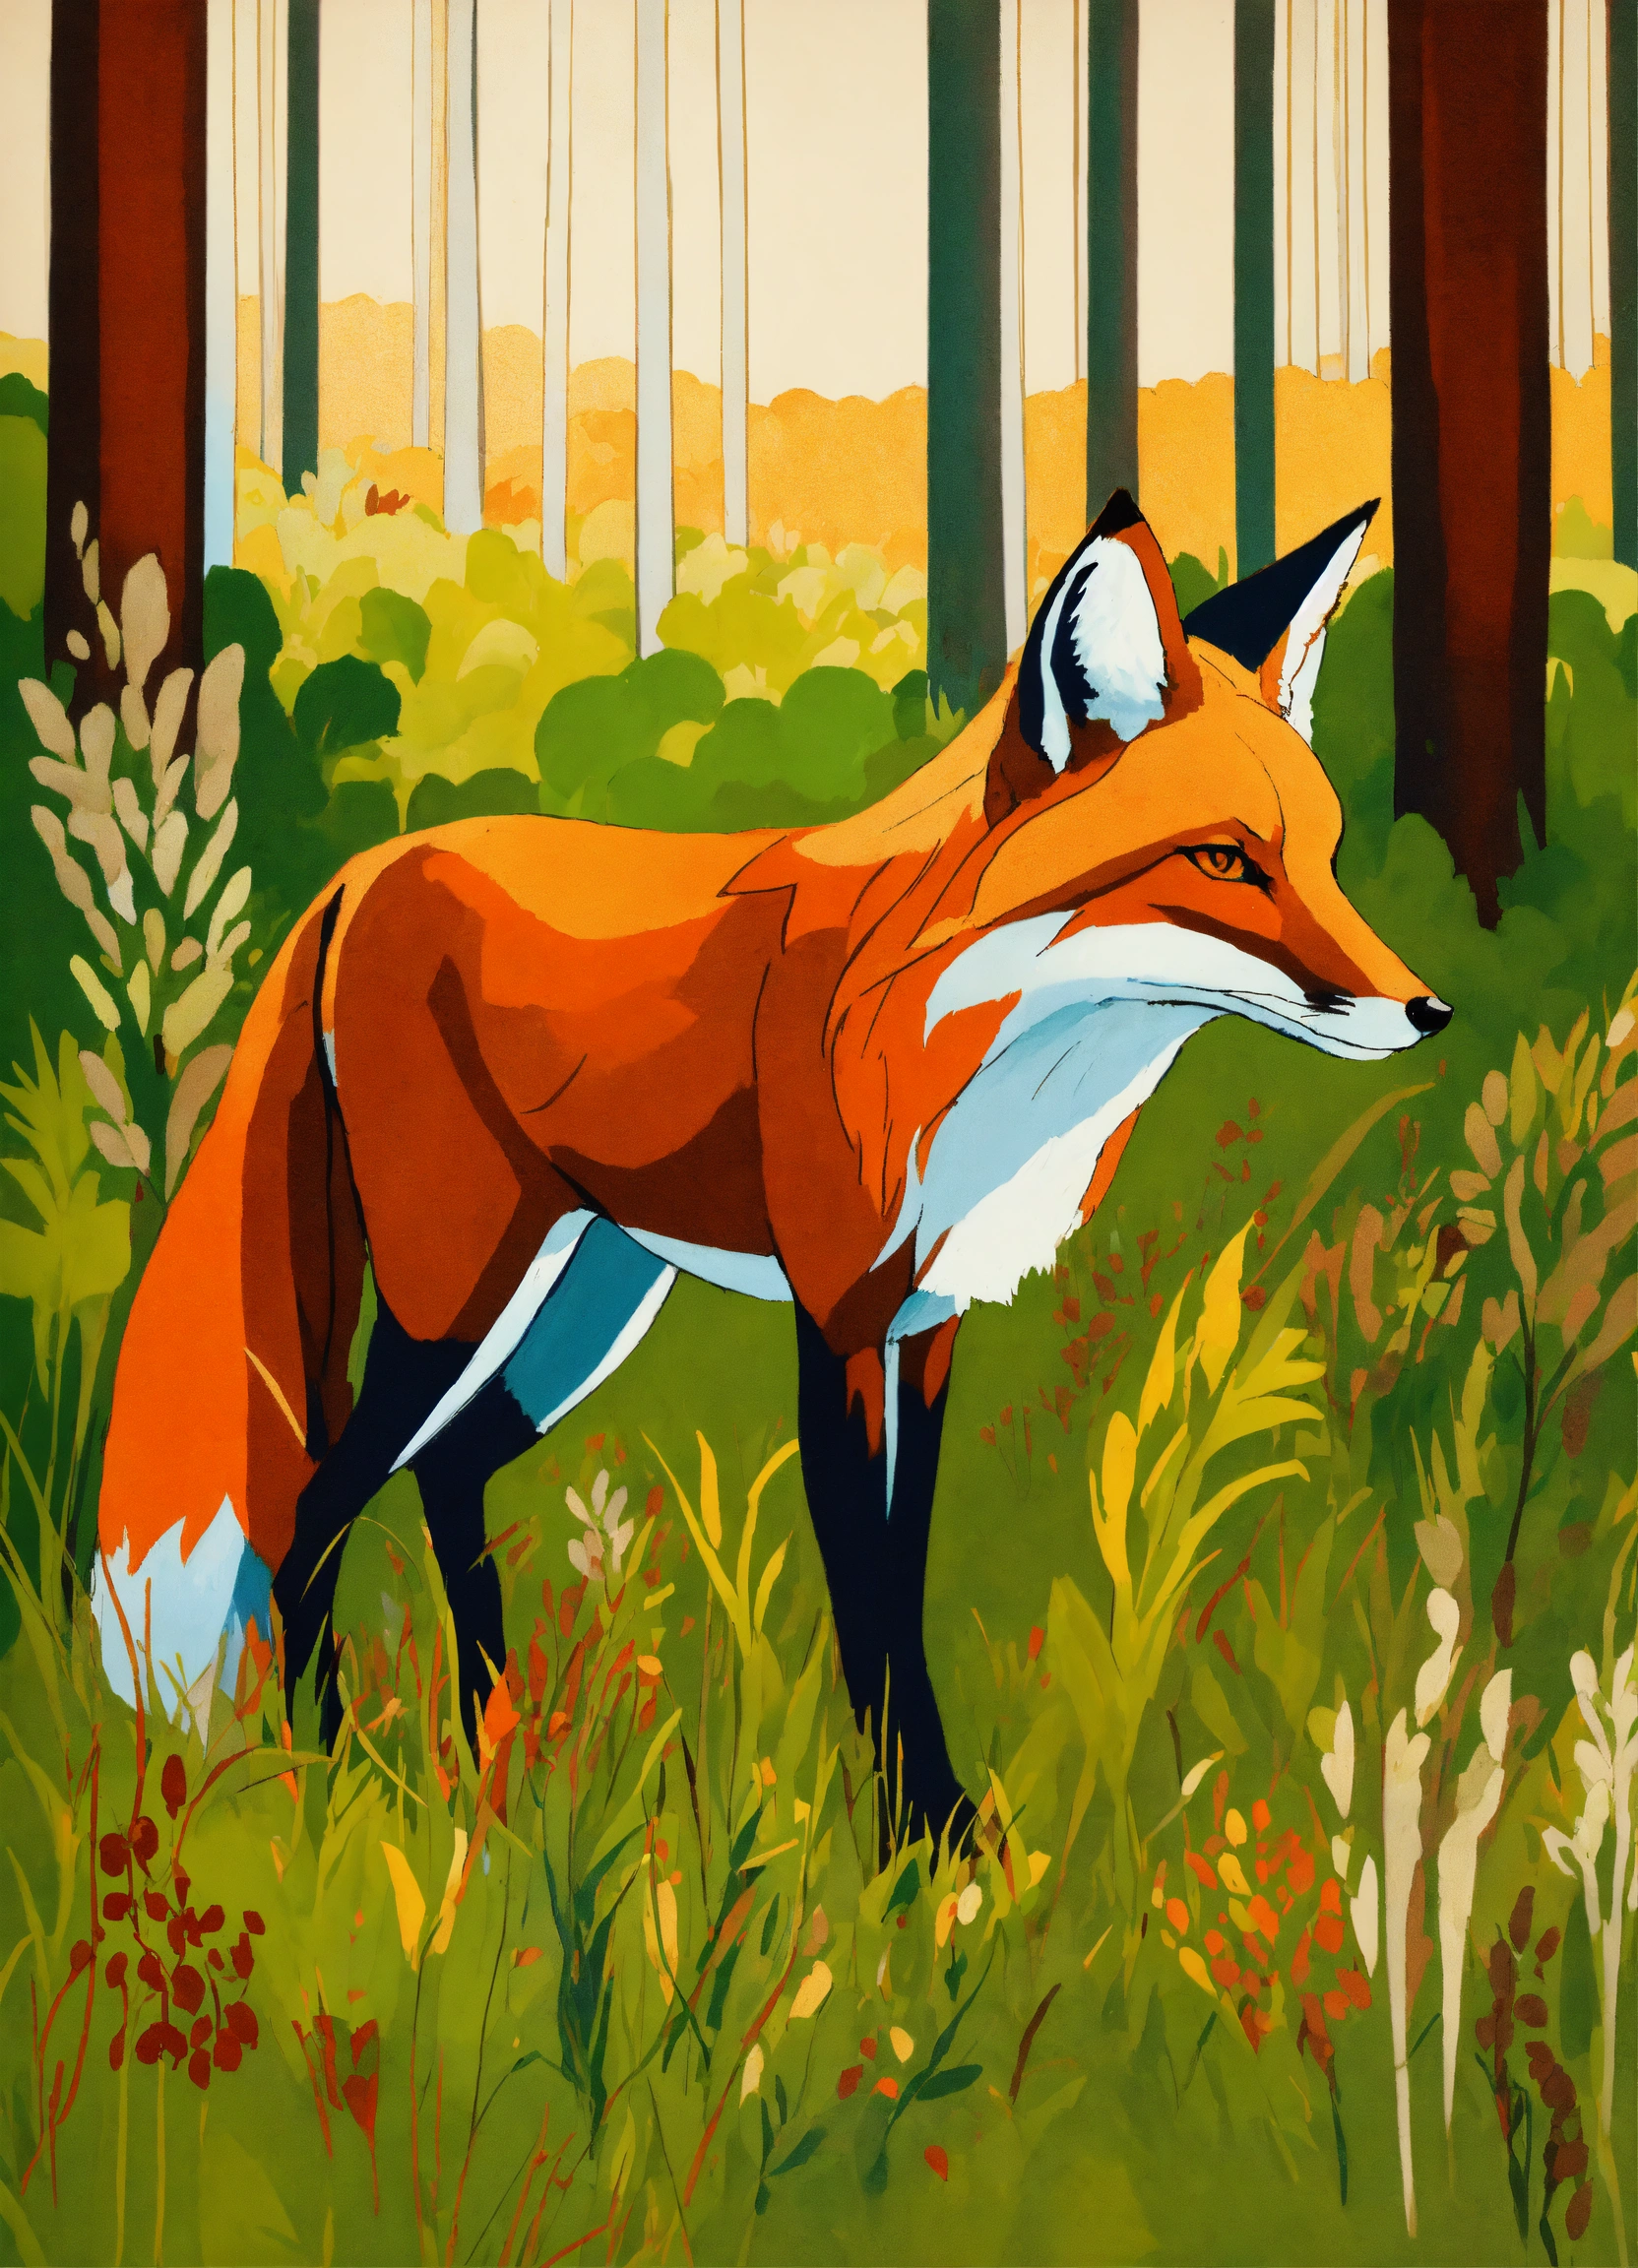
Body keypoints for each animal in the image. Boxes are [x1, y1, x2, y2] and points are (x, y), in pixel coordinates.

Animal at [93, 489, 1450, 1842]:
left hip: (576, 1307)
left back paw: (492, 1769)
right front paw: (926, 1851)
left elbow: (903, 1576)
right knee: (313, 1515)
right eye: (1223, 863)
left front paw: (941, 1842)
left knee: (442, 1474)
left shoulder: (926, 1324)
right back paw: (333, 1783)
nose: (1427, 1010)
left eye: (1326, 857)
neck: (978, 1040)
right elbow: (868, 1607)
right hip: (460, 1296)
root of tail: (362, 872)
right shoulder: (837, 1320)